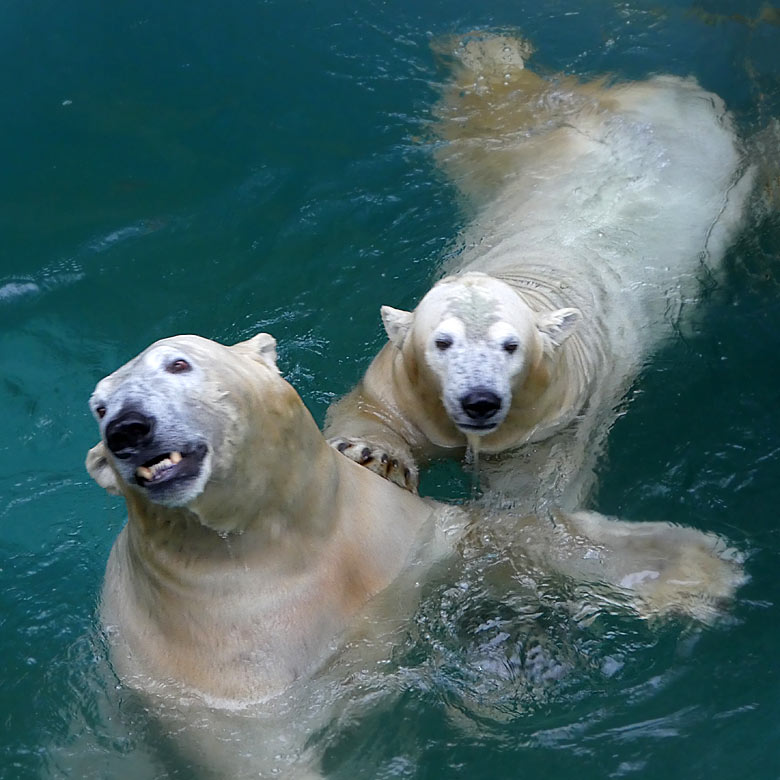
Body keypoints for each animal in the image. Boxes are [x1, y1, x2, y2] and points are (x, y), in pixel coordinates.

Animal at [84, 332, 744, 776]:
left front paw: (693, 566)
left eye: (179, 362)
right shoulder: (223, 675)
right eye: (99, 406)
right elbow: (257, 756)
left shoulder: (389, 538)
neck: (283, 545)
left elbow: (505, 537)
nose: (127, 429)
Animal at [320, 33, 752, 512]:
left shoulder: (558, 422)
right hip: (543, 138)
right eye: (441, 342)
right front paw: (376, 456)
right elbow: (371, 411)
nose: (480, 402)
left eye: (512, 346)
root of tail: (677, 91)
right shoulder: (403, 385)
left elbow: (531, 492)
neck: (534, 277)